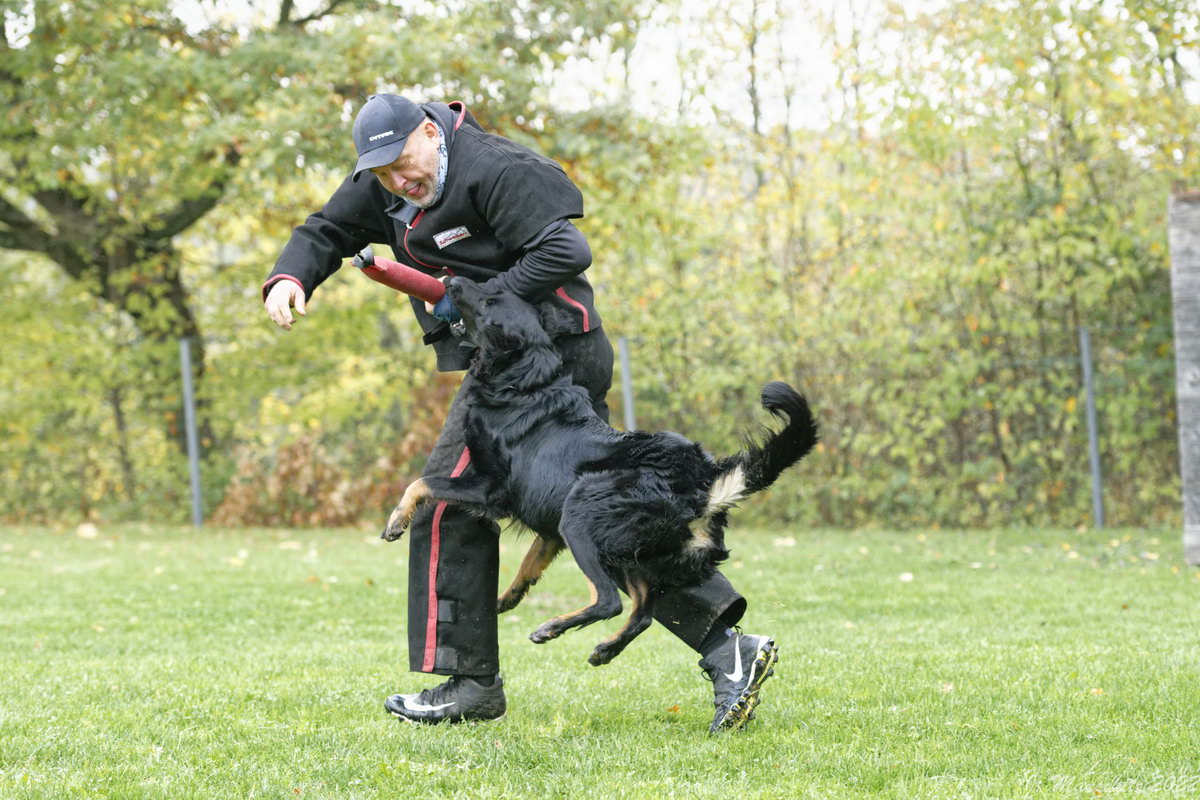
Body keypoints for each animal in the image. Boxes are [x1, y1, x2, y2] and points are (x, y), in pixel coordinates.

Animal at [381, 278, 816, 666]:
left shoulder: (492, 490)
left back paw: (553, 627)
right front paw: (505, 598)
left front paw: (396, 520)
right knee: (641, 612)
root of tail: (703, 480)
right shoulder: (550, 528)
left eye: (489, 300)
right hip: (631, 553)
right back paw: (606, 648)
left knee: (609, 602)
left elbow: (422, 482)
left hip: (582, 517)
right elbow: (528, 565)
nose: (451, 280)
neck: (524, 381)